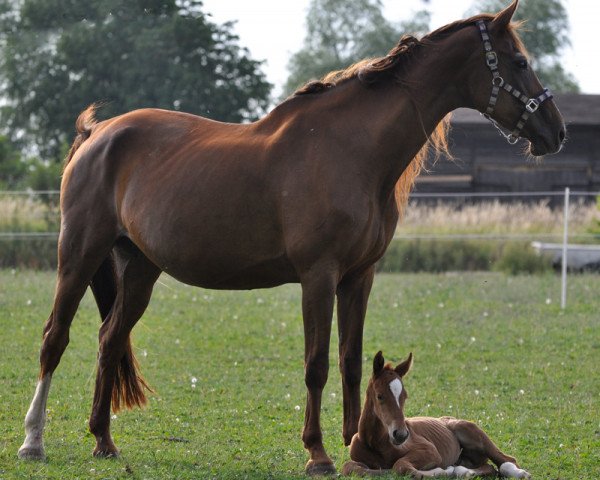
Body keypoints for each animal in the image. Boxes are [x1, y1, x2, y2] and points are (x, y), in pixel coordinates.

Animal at [342, 350, 528, 478]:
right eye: (380, 396)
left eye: (404, 396)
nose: (401, 435)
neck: (375, 442)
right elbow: (350, 468)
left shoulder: (429, 450)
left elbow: (400, 466)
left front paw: (441, 471)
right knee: (488, 468)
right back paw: (463, 471)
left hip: (470, 431)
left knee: (506, 460)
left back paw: (520, 473)